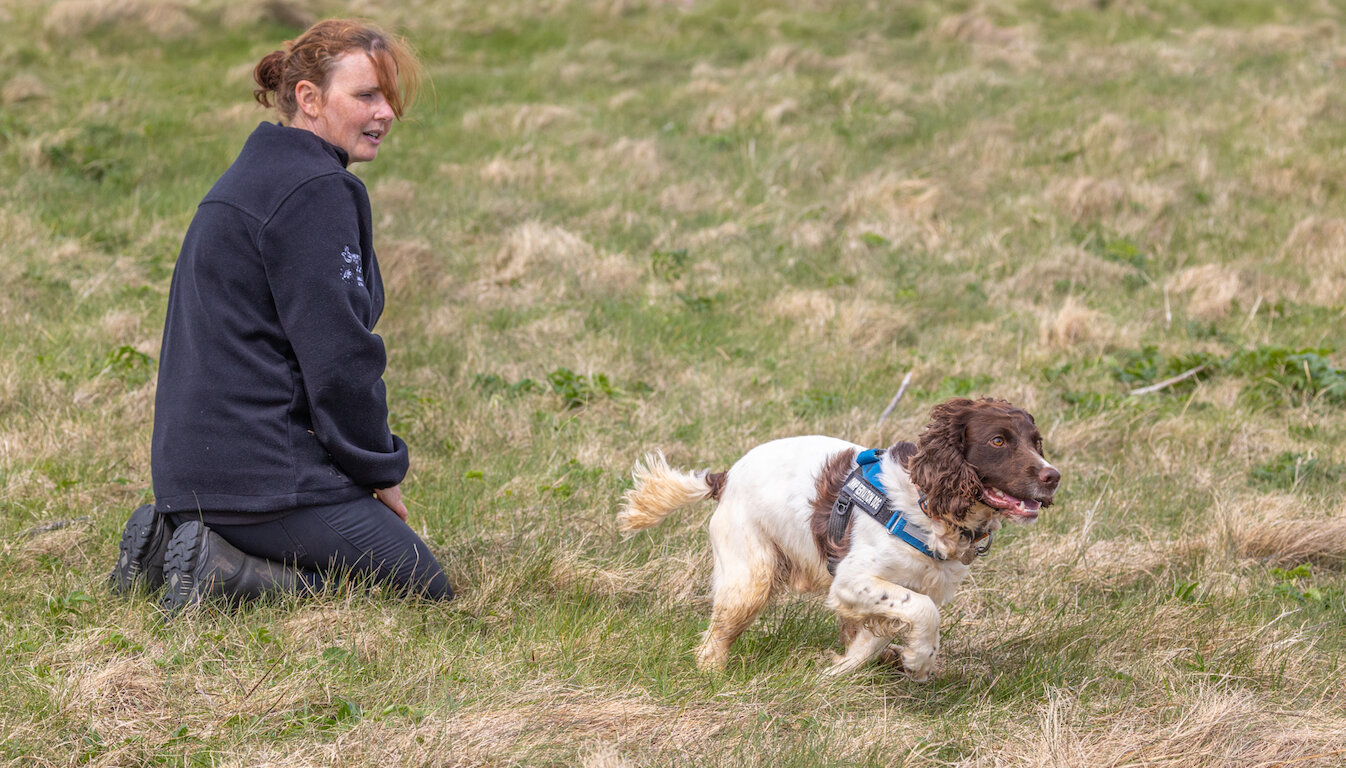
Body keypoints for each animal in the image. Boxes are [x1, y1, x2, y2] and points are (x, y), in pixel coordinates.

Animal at [616, 395, 1060, 677]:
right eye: (998, 440)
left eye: (1036, 442)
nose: (1053, 476)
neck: (926, 506)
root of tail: (725, 476)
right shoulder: (852, 580)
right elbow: (923, 612)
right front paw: (919, 661)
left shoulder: (906, 588)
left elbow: (876, 638)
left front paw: (838, 672)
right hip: (750, 577)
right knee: (716, 636)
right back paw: (713, 675)